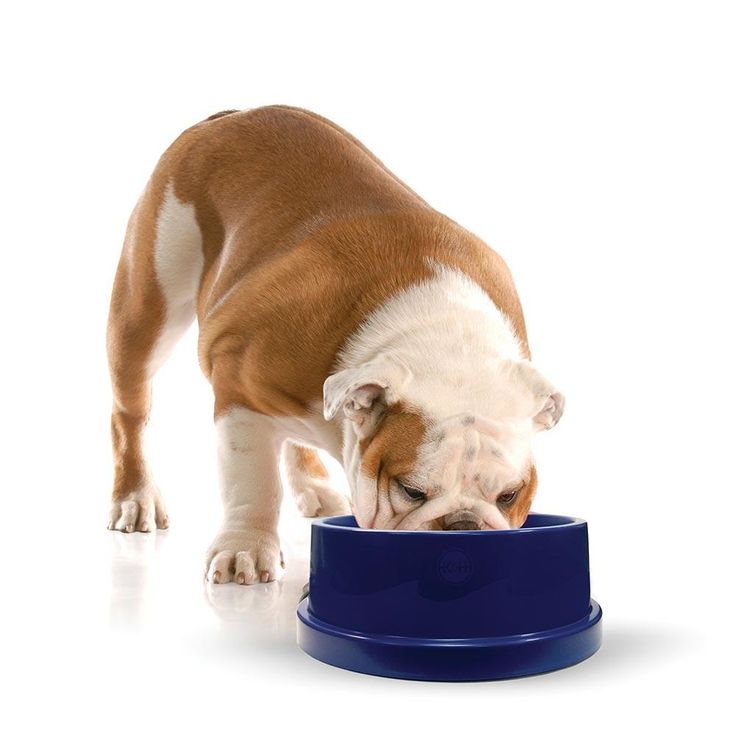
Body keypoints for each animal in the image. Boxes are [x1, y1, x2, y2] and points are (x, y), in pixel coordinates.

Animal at [106, 105, 564, 588]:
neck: (444, 338)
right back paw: (135, 498)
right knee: (131, 411)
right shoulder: (237, 392)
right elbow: (254, 481)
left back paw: (315, 486)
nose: (464, 527)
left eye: (510, 495)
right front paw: (245, 549)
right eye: (411, 491)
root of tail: (232, 115)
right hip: (149, 301)